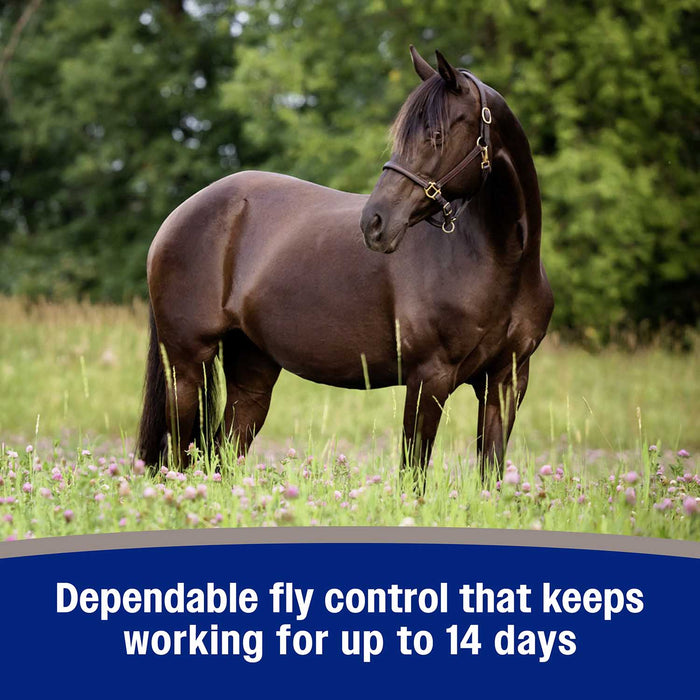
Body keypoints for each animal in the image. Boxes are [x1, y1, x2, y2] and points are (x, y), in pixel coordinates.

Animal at [136, 46, 553, 487]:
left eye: (437, 135)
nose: (375, 222)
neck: (500, 262)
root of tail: (178, 216)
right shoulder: (430, 377)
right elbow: (413, 474)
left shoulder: (506, 382)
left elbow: (491, 472)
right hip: (186, 366)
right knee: (178, 456)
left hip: (252, 369)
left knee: (225, 453)